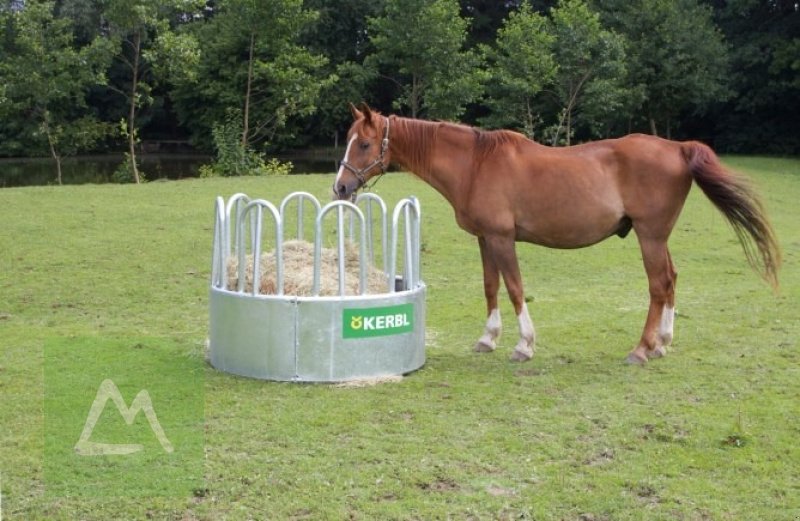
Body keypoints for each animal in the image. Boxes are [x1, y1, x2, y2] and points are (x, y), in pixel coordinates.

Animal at [332, 101, 780, 362]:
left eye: (365, 144)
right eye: (350, 140)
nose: (340, 187)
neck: (475, 164)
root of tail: (677, 148)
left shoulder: (502, 238)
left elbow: (515, 287)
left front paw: (524, 344)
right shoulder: (484, 239)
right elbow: (491, 287)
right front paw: (489, 338)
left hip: (650, 236)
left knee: (658, 285)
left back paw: (641, 349)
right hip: (658, 237)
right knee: (670, 280)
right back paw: (663, 343)